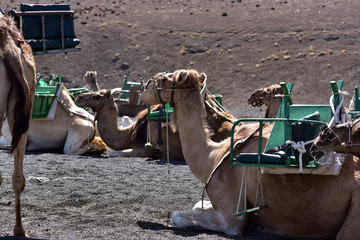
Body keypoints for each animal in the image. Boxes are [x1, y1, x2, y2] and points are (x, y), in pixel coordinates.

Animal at [140, 68, 360, 239]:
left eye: (166, 79)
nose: (146, 84)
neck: (213, 156)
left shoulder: (230, 217)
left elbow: (177, 216)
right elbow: (196, 205)